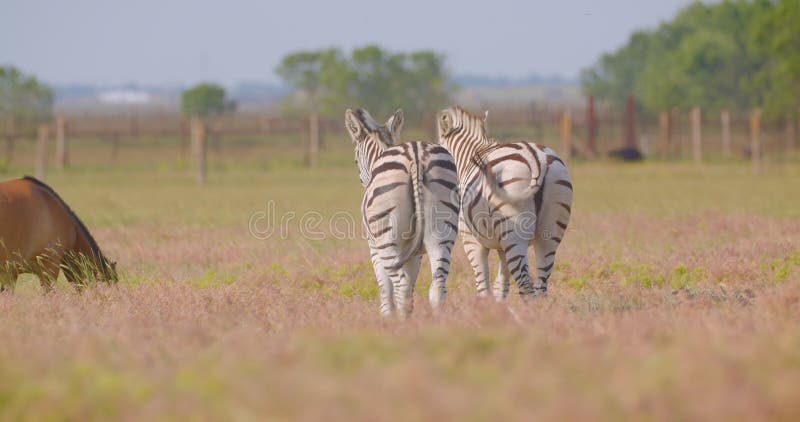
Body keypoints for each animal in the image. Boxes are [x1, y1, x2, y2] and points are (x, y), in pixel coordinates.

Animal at [346, 108, 462, 316]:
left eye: (355, 159)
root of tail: (416, 155)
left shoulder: (374, 248)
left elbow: (385, 288)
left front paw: (388, 317)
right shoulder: (415, 253)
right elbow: (410, 288)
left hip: (387, 239)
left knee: (399, 286)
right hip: (441, 232)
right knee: (436, 287)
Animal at [434, 105, 572, 300]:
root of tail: (536, 156)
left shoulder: (471, 240)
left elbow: (483, 286)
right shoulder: (501, 246)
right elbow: (501, 285)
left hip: (514, 231)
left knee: (526, 285)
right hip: (550, 230)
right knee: (541, 285)